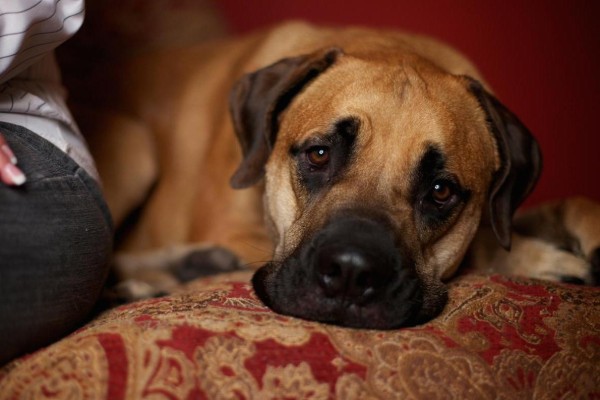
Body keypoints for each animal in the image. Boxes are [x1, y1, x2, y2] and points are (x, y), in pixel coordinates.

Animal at [65, 20, 600, 330]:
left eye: (441, 190)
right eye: (319, 155)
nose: (350, 273)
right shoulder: (233, 230)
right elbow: (487, 246)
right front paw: (539, 258)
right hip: (134, 147)